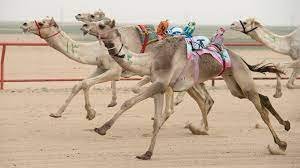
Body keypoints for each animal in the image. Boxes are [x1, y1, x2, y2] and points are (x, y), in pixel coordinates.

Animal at [83, 20, 290, 160]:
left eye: (101, 24)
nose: (85, 27)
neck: (151, 60)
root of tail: (239, 58)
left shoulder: (160, 84)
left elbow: (129, 102)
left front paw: (102, 128)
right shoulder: (160, 87)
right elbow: (156, 119)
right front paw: (147, 153)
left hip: (241, 76)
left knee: (261, 111)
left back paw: (281, 143)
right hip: (234, 84)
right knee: (259, 97)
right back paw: (286, 125)